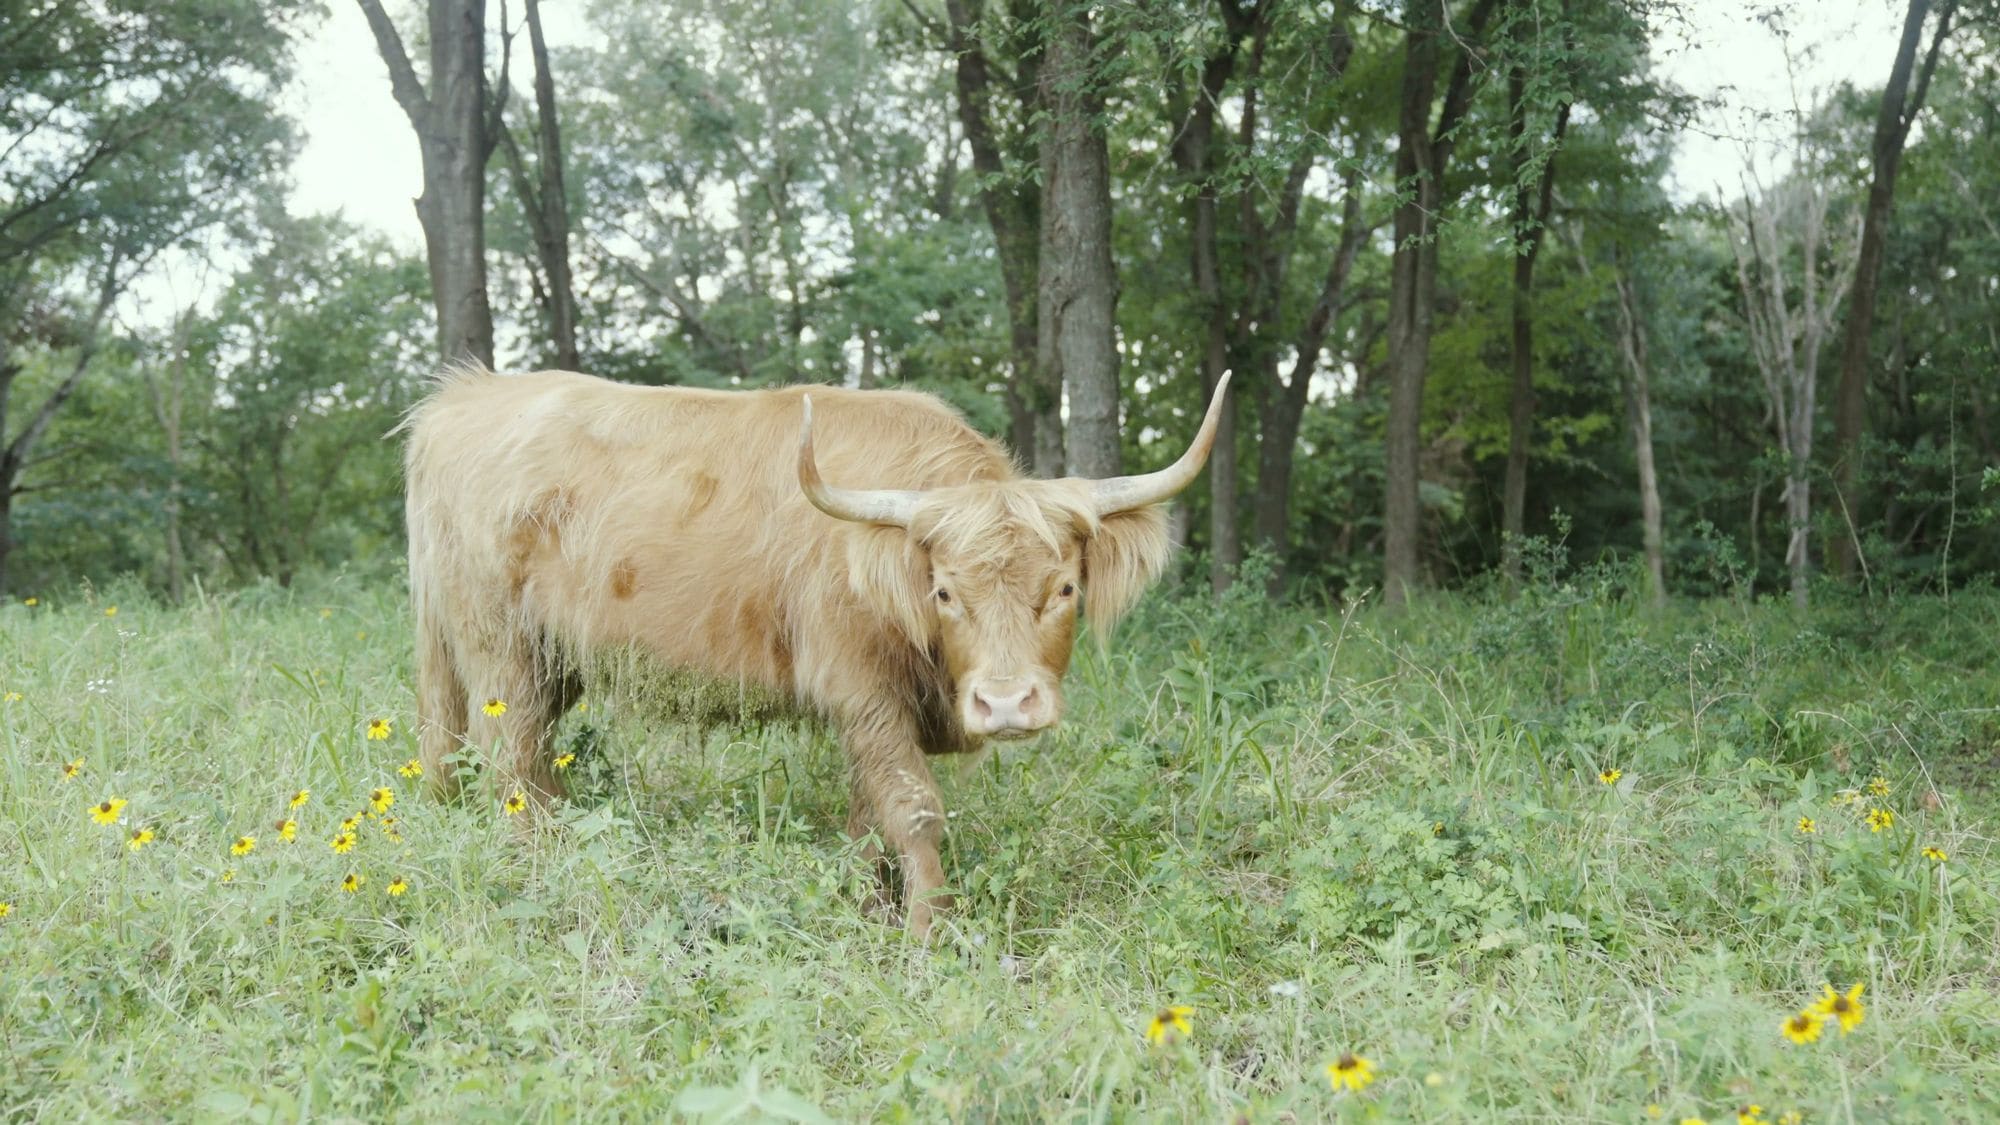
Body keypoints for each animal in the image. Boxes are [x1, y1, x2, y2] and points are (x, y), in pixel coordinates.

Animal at [402, 366, 1229, 937]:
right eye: (945, 591)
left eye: (1063, 588)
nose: (1004, 704)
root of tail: (461, 397)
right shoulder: (861, 690)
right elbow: (914, 809)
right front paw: (929, 931)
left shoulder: (878, 710)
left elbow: (869, 817)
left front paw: (865, 905)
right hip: (500, 647)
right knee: (510, 759)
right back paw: (536, 870)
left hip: (548, 658)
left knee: (517, 759)